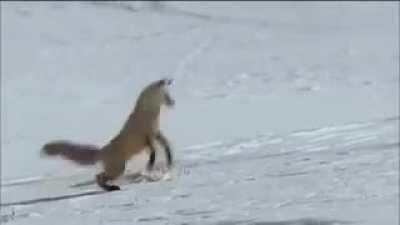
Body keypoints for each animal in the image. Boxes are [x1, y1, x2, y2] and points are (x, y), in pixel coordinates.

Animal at [41, 78, 177, 191]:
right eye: (167, 96)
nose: (173, 102)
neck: (148, 114)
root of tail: (103, 151)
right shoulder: (147, 137)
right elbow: (153, 152)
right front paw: (151, 164)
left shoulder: (156, 133)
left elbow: (166, 145)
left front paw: (169, 159)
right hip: (118, 168)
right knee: (98, 177)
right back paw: (111, 188)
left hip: (117, 168)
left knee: (99, 176)